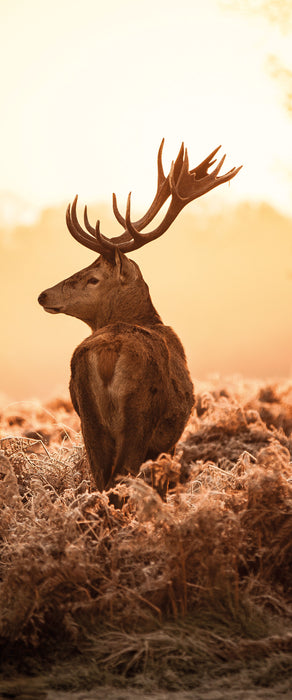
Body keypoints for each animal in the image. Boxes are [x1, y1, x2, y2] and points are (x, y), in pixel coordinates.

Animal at [37, 141, 241, 492]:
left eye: (93, 278)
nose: (44, 295)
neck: (147, 317)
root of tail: (107, 353)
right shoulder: (168, 441)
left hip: (88, 419)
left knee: (101, 481)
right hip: (139, 416)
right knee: (120, 480)